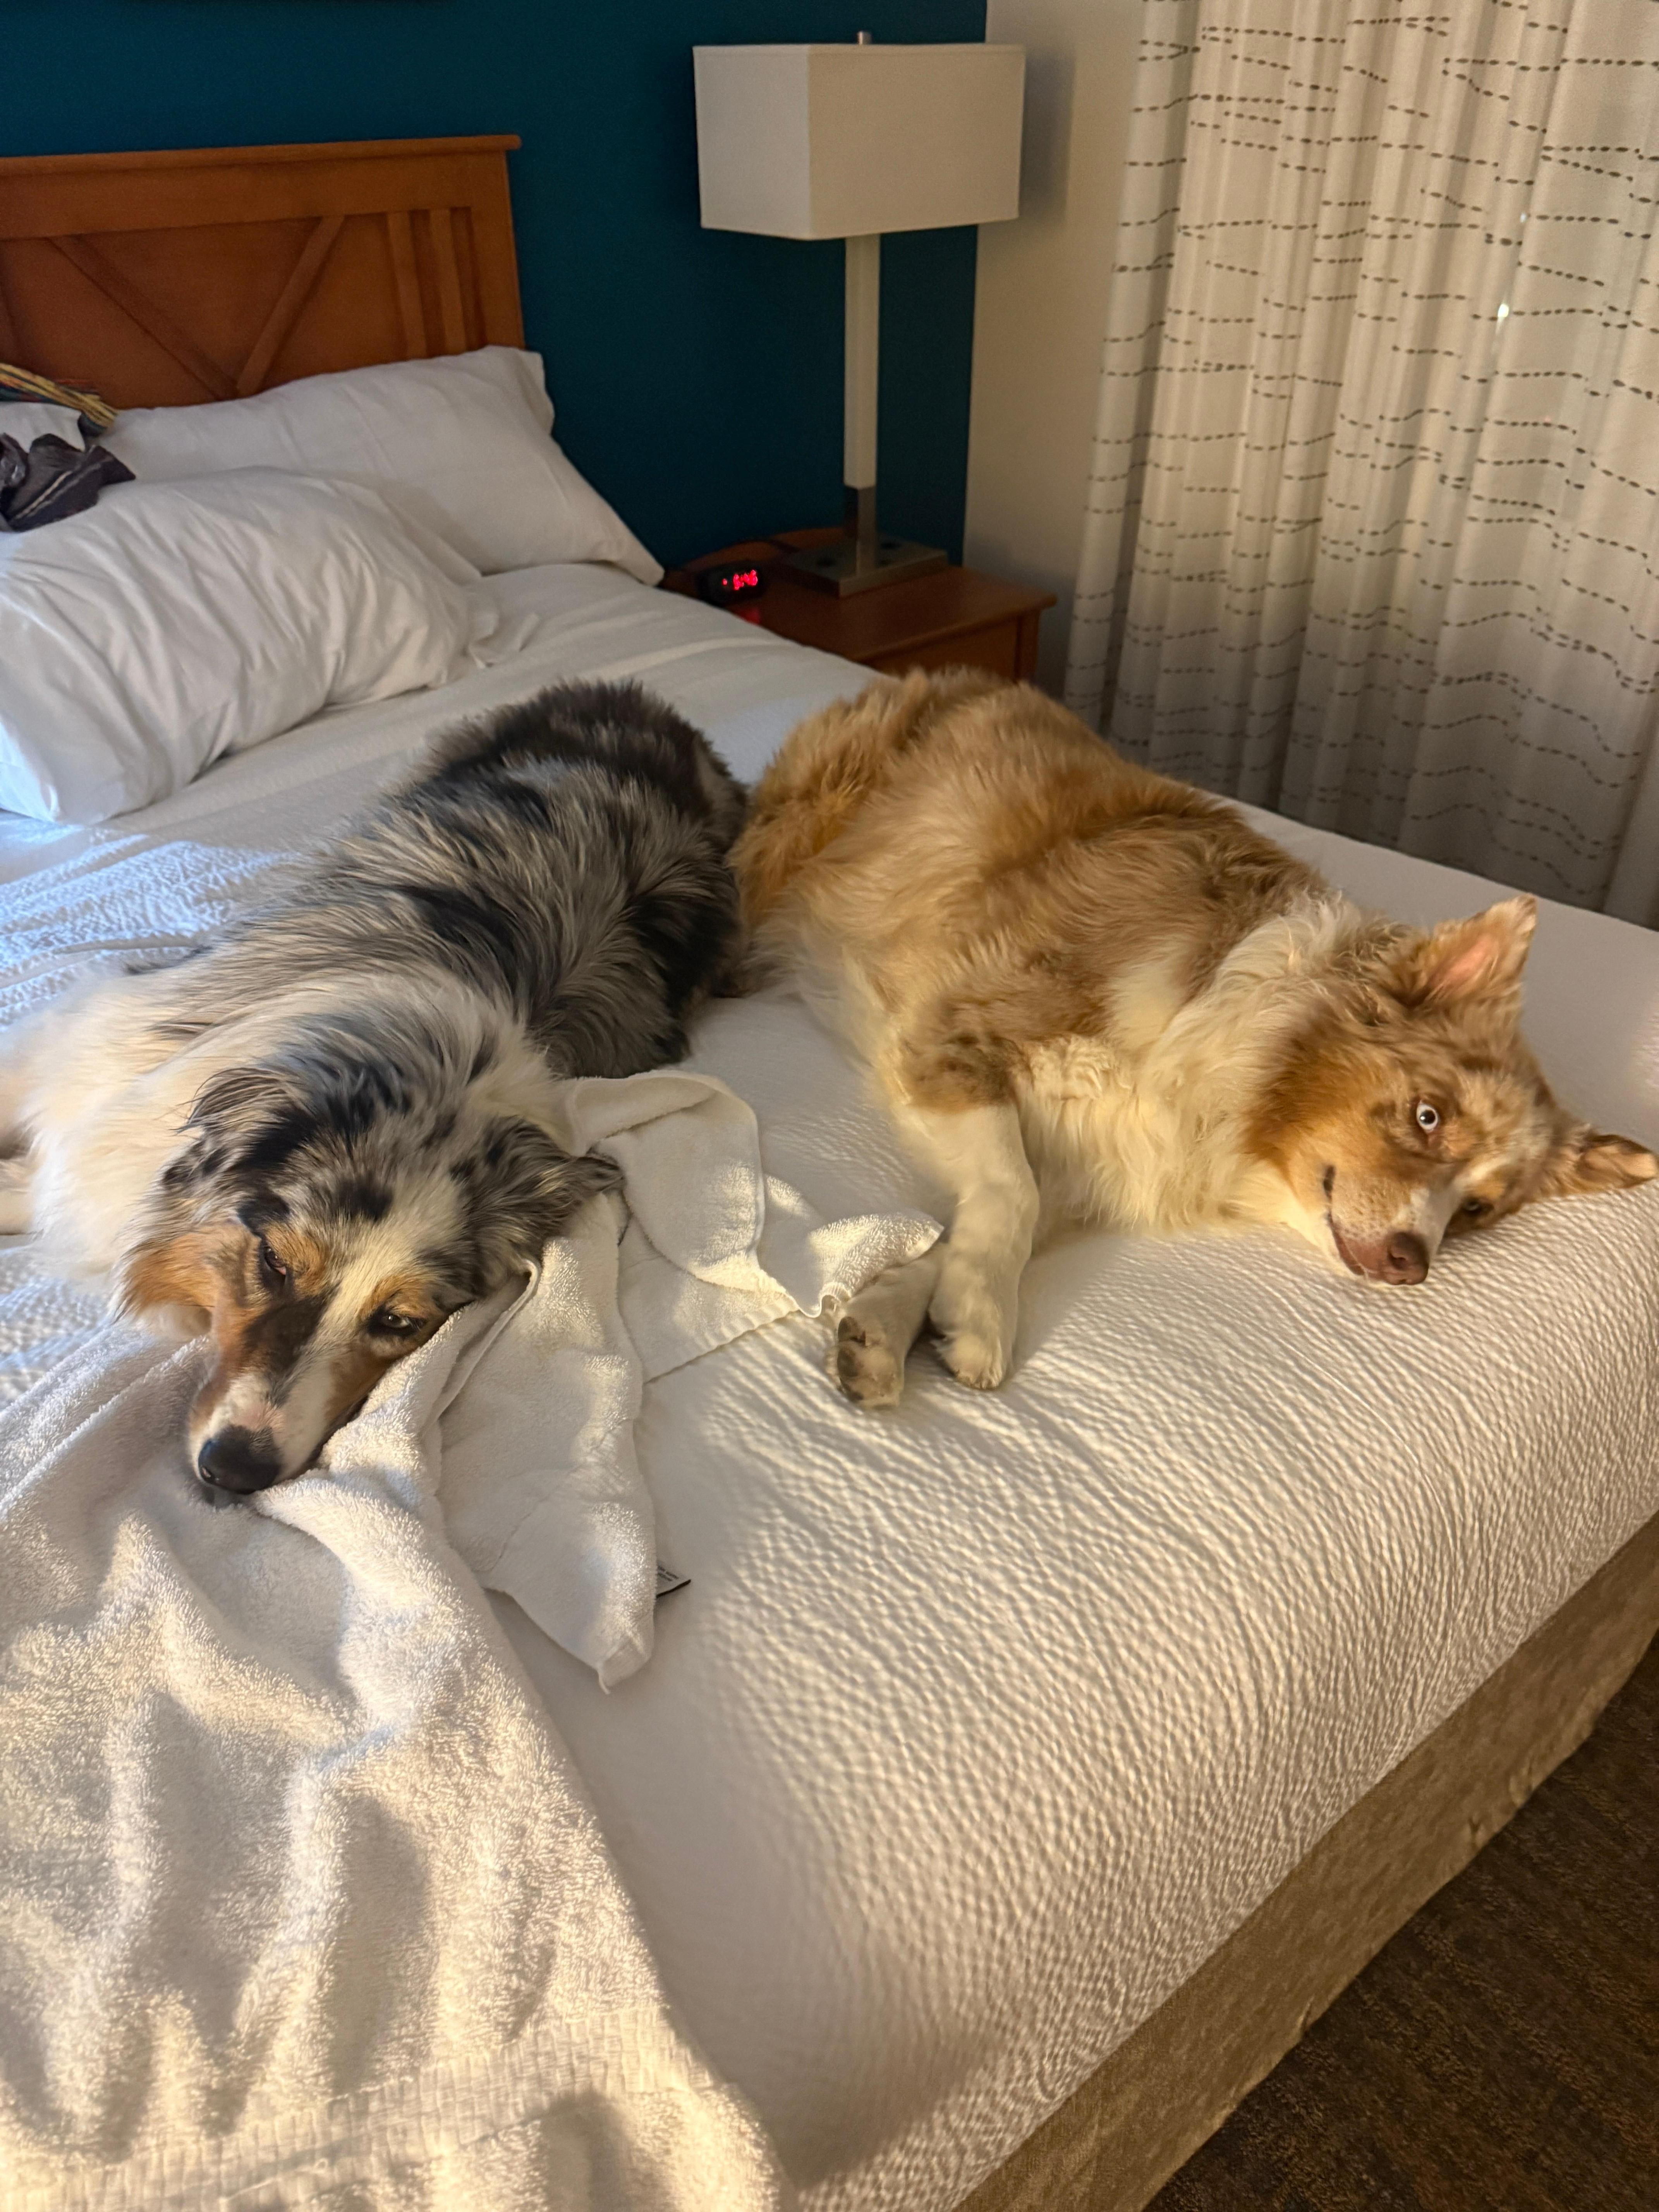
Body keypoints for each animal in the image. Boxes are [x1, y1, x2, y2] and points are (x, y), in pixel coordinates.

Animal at [733, 668, 1656, 1407]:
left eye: (1474, 1212)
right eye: (1427, 1117)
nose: (1410, 1263)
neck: (1225, 1040)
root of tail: (946, 679)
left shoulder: (1084, 1160)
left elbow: (966, 1229)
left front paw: (894, 1324)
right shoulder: (954, 1027)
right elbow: (1007, 1191)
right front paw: (988, 1323)